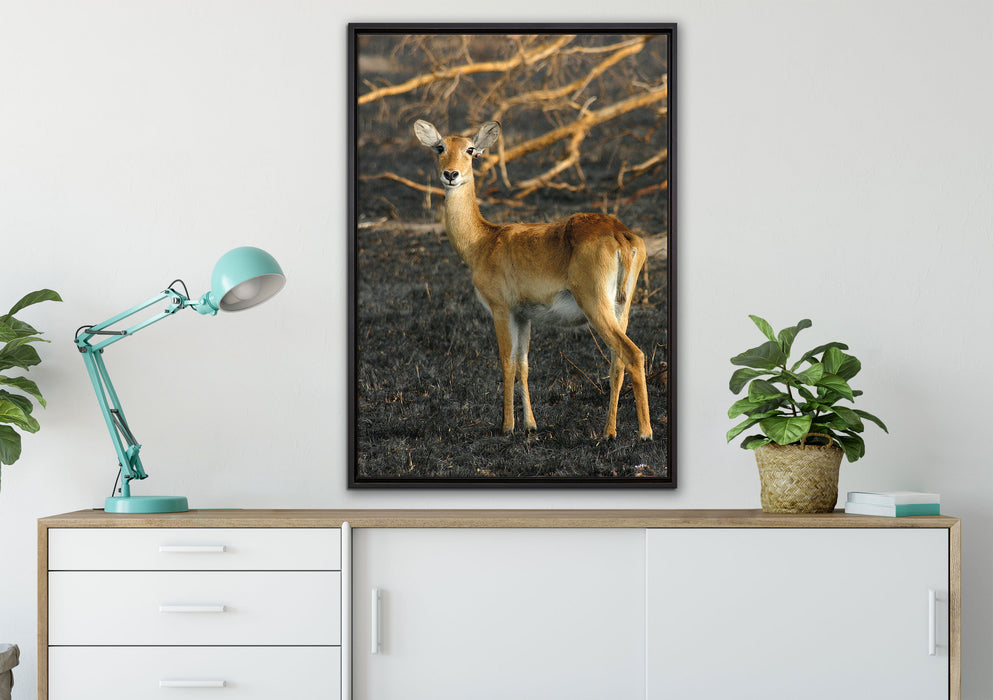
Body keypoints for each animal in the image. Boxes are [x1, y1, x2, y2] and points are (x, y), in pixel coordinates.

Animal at [414, 119, 652, 440]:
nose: (451, 174)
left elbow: (506, 362)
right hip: (620, 308)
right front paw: (530, 424)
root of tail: (620, 235)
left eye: (470, 149)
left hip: (595, 304)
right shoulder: (524, 315)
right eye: (440, 147)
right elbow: (523, 364)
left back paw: (645, 433)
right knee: (618, 361)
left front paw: (507, 426)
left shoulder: (501, 309)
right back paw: (608, 432)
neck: (482, 241)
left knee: (634, 354)